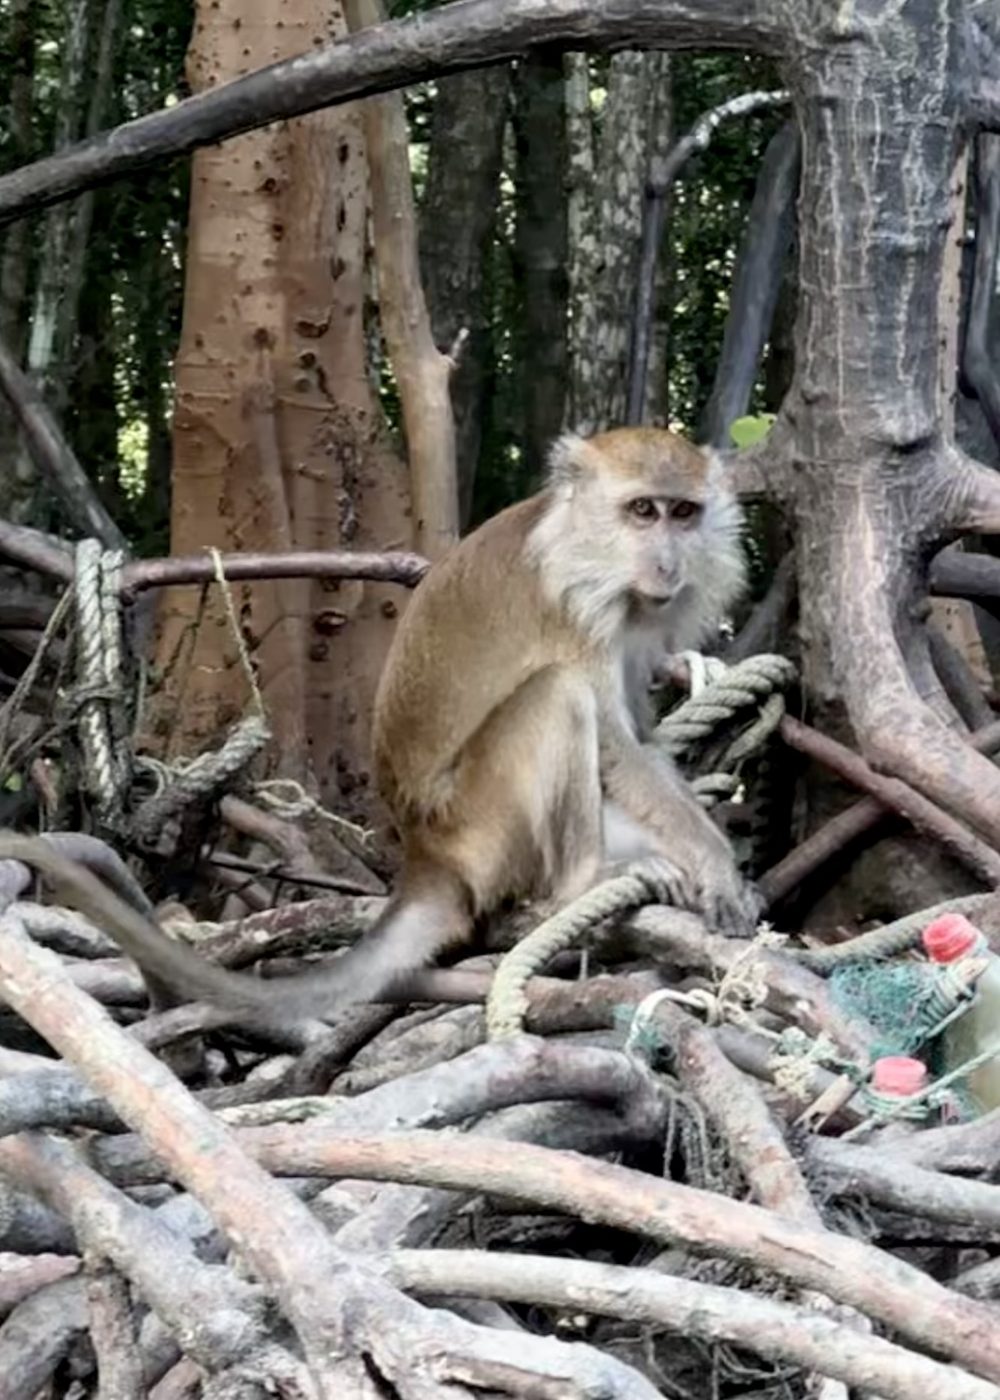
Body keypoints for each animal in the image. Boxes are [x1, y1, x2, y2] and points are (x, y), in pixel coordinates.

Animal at [0, 427, 758, 1024]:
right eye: (642, 510)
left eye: (683, 513)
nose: (667, 562)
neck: (588, 550)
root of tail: (427, 857)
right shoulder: (574, 608)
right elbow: (618, 744)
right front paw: (716, 862)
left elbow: (642, 745)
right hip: (481, 826)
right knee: (558, 694)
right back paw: (586, 879)